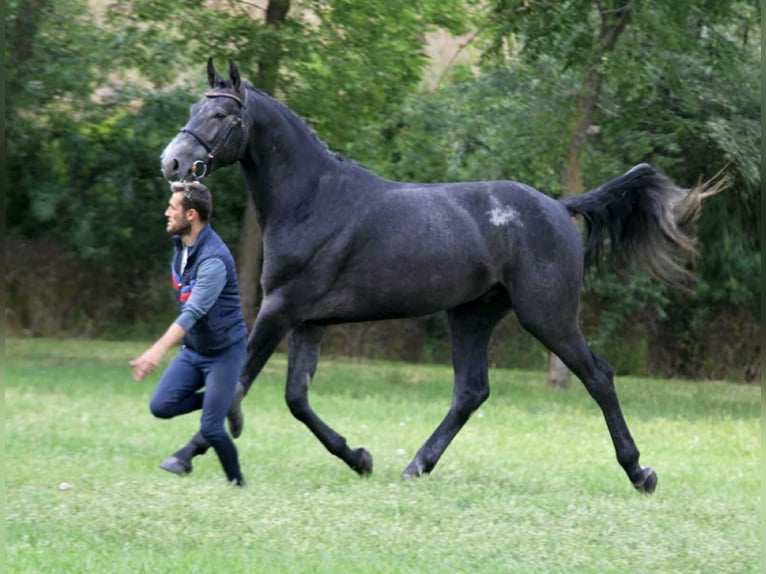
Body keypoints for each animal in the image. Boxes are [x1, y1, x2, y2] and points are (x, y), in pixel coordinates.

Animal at [160, 58, 720, 493]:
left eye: (220, 114)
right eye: (192, 111)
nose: (173, 163)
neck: (312, 199)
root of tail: (561, 209)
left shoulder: (281, 308)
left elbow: (239, 383)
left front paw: (185, 454)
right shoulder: (308, 321)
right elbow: (296, 399)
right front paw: (359, 457)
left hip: (548, 316)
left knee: (598, 377)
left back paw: (640, 472)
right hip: (472, 314)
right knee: (471, 392)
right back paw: (415, 466)